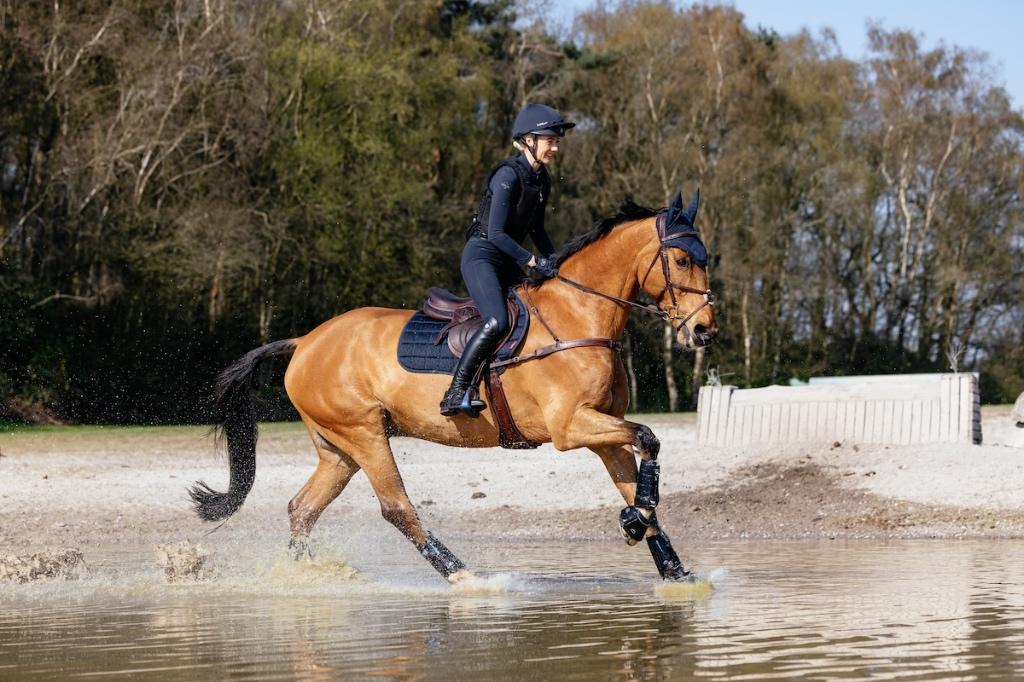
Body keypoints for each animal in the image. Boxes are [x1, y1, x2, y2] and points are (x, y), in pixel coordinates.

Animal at [190, 189, 718, 583]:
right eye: (680, 260)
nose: (704, 332)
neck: (578, 316)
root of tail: (305, 342)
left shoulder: (602, 428)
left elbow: (637, 481)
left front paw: (666, 561)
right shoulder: (571, 427)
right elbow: (650, 438)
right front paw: (637, 527)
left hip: (339, 449)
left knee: (302, 508)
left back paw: (306, 577)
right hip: (364, 434)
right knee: (396, 508)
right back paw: (465, 577)